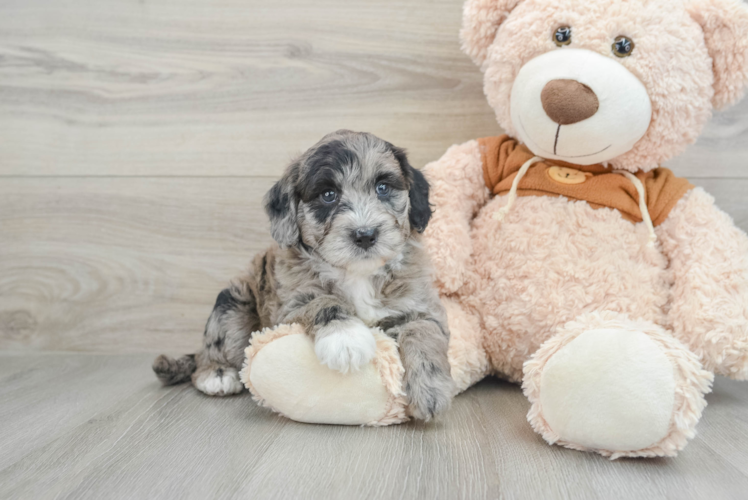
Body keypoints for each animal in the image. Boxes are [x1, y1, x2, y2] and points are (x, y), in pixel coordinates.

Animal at [155, 131, 452, 420]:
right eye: (328, 194)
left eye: (383, 188)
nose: (365, 235)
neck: (358, 273)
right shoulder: (288, 307)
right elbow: (322, 301)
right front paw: (345, 338)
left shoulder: (421, 306)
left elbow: (423, 331)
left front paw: (430, 389)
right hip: (232, 305)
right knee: (215, 345)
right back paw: (216, 374)